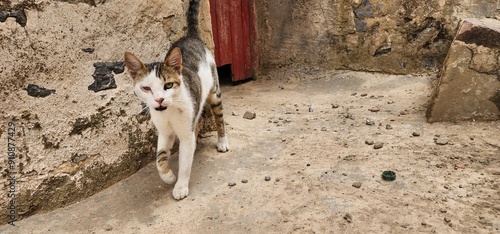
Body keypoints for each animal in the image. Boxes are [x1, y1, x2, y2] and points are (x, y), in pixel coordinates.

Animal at [124, 0, 229, 199]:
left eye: (168, 85)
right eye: (146, 88)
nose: (159, 100)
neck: (169, 112)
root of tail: (192, 36)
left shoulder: (185, 133)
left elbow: (185, 162)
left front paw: (180, 186)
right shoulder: (164, 132)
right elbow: (159, 157)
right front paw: (168, 176)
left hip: (214, 93)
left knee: (219, 119)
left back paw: (222, 142)